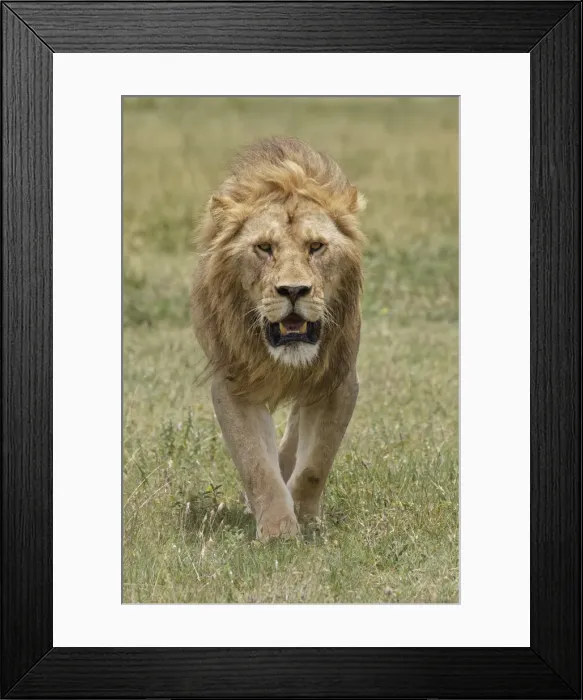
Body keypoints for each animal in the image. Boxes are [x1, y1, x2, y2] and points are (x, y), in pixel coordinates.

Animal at [191, 136, 366, 541]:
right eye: (264, 248)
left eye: (316, 247)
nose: (294, 290)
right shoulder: (234, 385)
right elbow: (256, 464)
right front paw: (278, 532)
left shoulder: (339, 381)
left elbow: (317, 461)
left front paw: (305, 517)